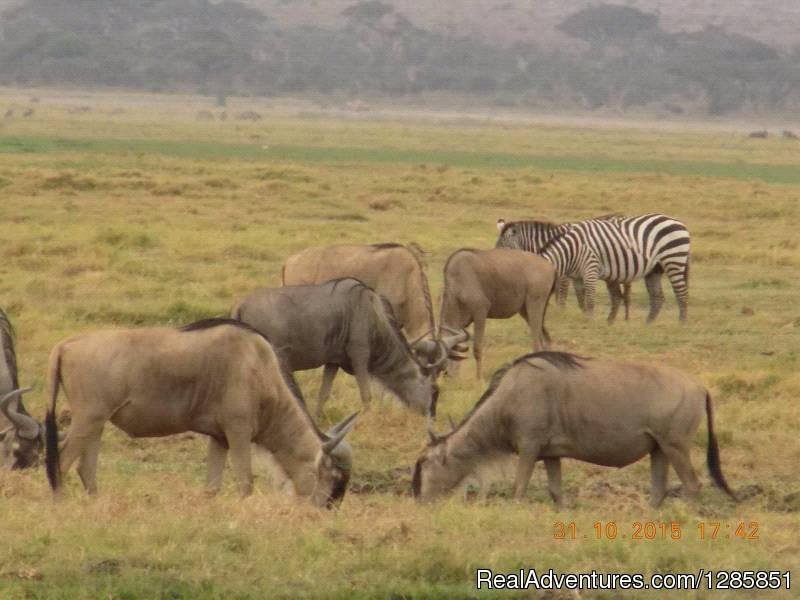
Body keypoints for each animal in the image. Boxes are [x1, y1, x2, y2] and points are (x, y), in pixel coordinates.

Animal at [494, 212, 688, 322]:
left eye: (503, 247)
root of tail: (678, 222)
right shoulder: (575, 274)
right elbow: (580, 298)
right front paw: (581, 317)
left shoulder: (576, 272)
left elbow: (570, 295)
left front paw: (567, 314)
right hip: (654, 269)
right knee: (656, 298)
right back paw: (646, 324)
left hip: (674, 260)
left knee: (681, 293)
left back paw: (681, 323)